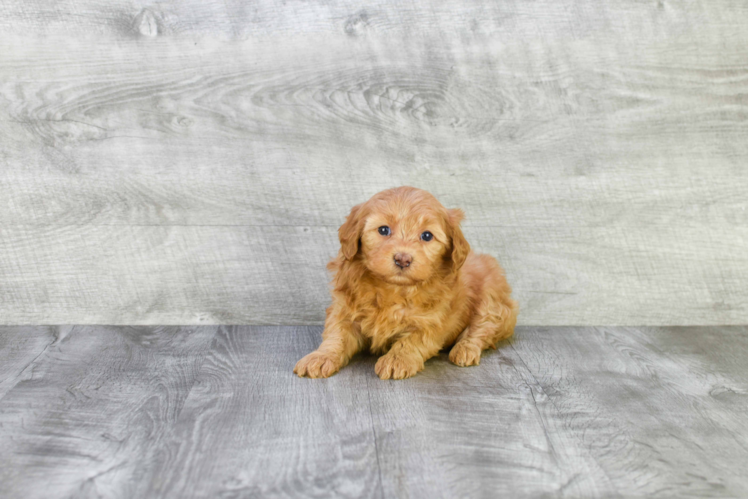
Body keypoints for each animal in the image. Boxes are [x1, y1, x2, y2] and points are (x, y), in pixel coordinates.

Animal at [296, 187, 516, 378]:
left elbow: (413, 340)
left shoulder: (434, 320)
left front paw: (396, 360)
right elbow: (336, 335)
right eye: (383, 230)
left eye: (426, 235)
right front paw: (320, 357)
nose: (403, 259)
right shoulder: (344, 309)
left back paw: (465, 349)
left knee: (483, 328)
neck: (394, 289)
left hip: (493, 299)